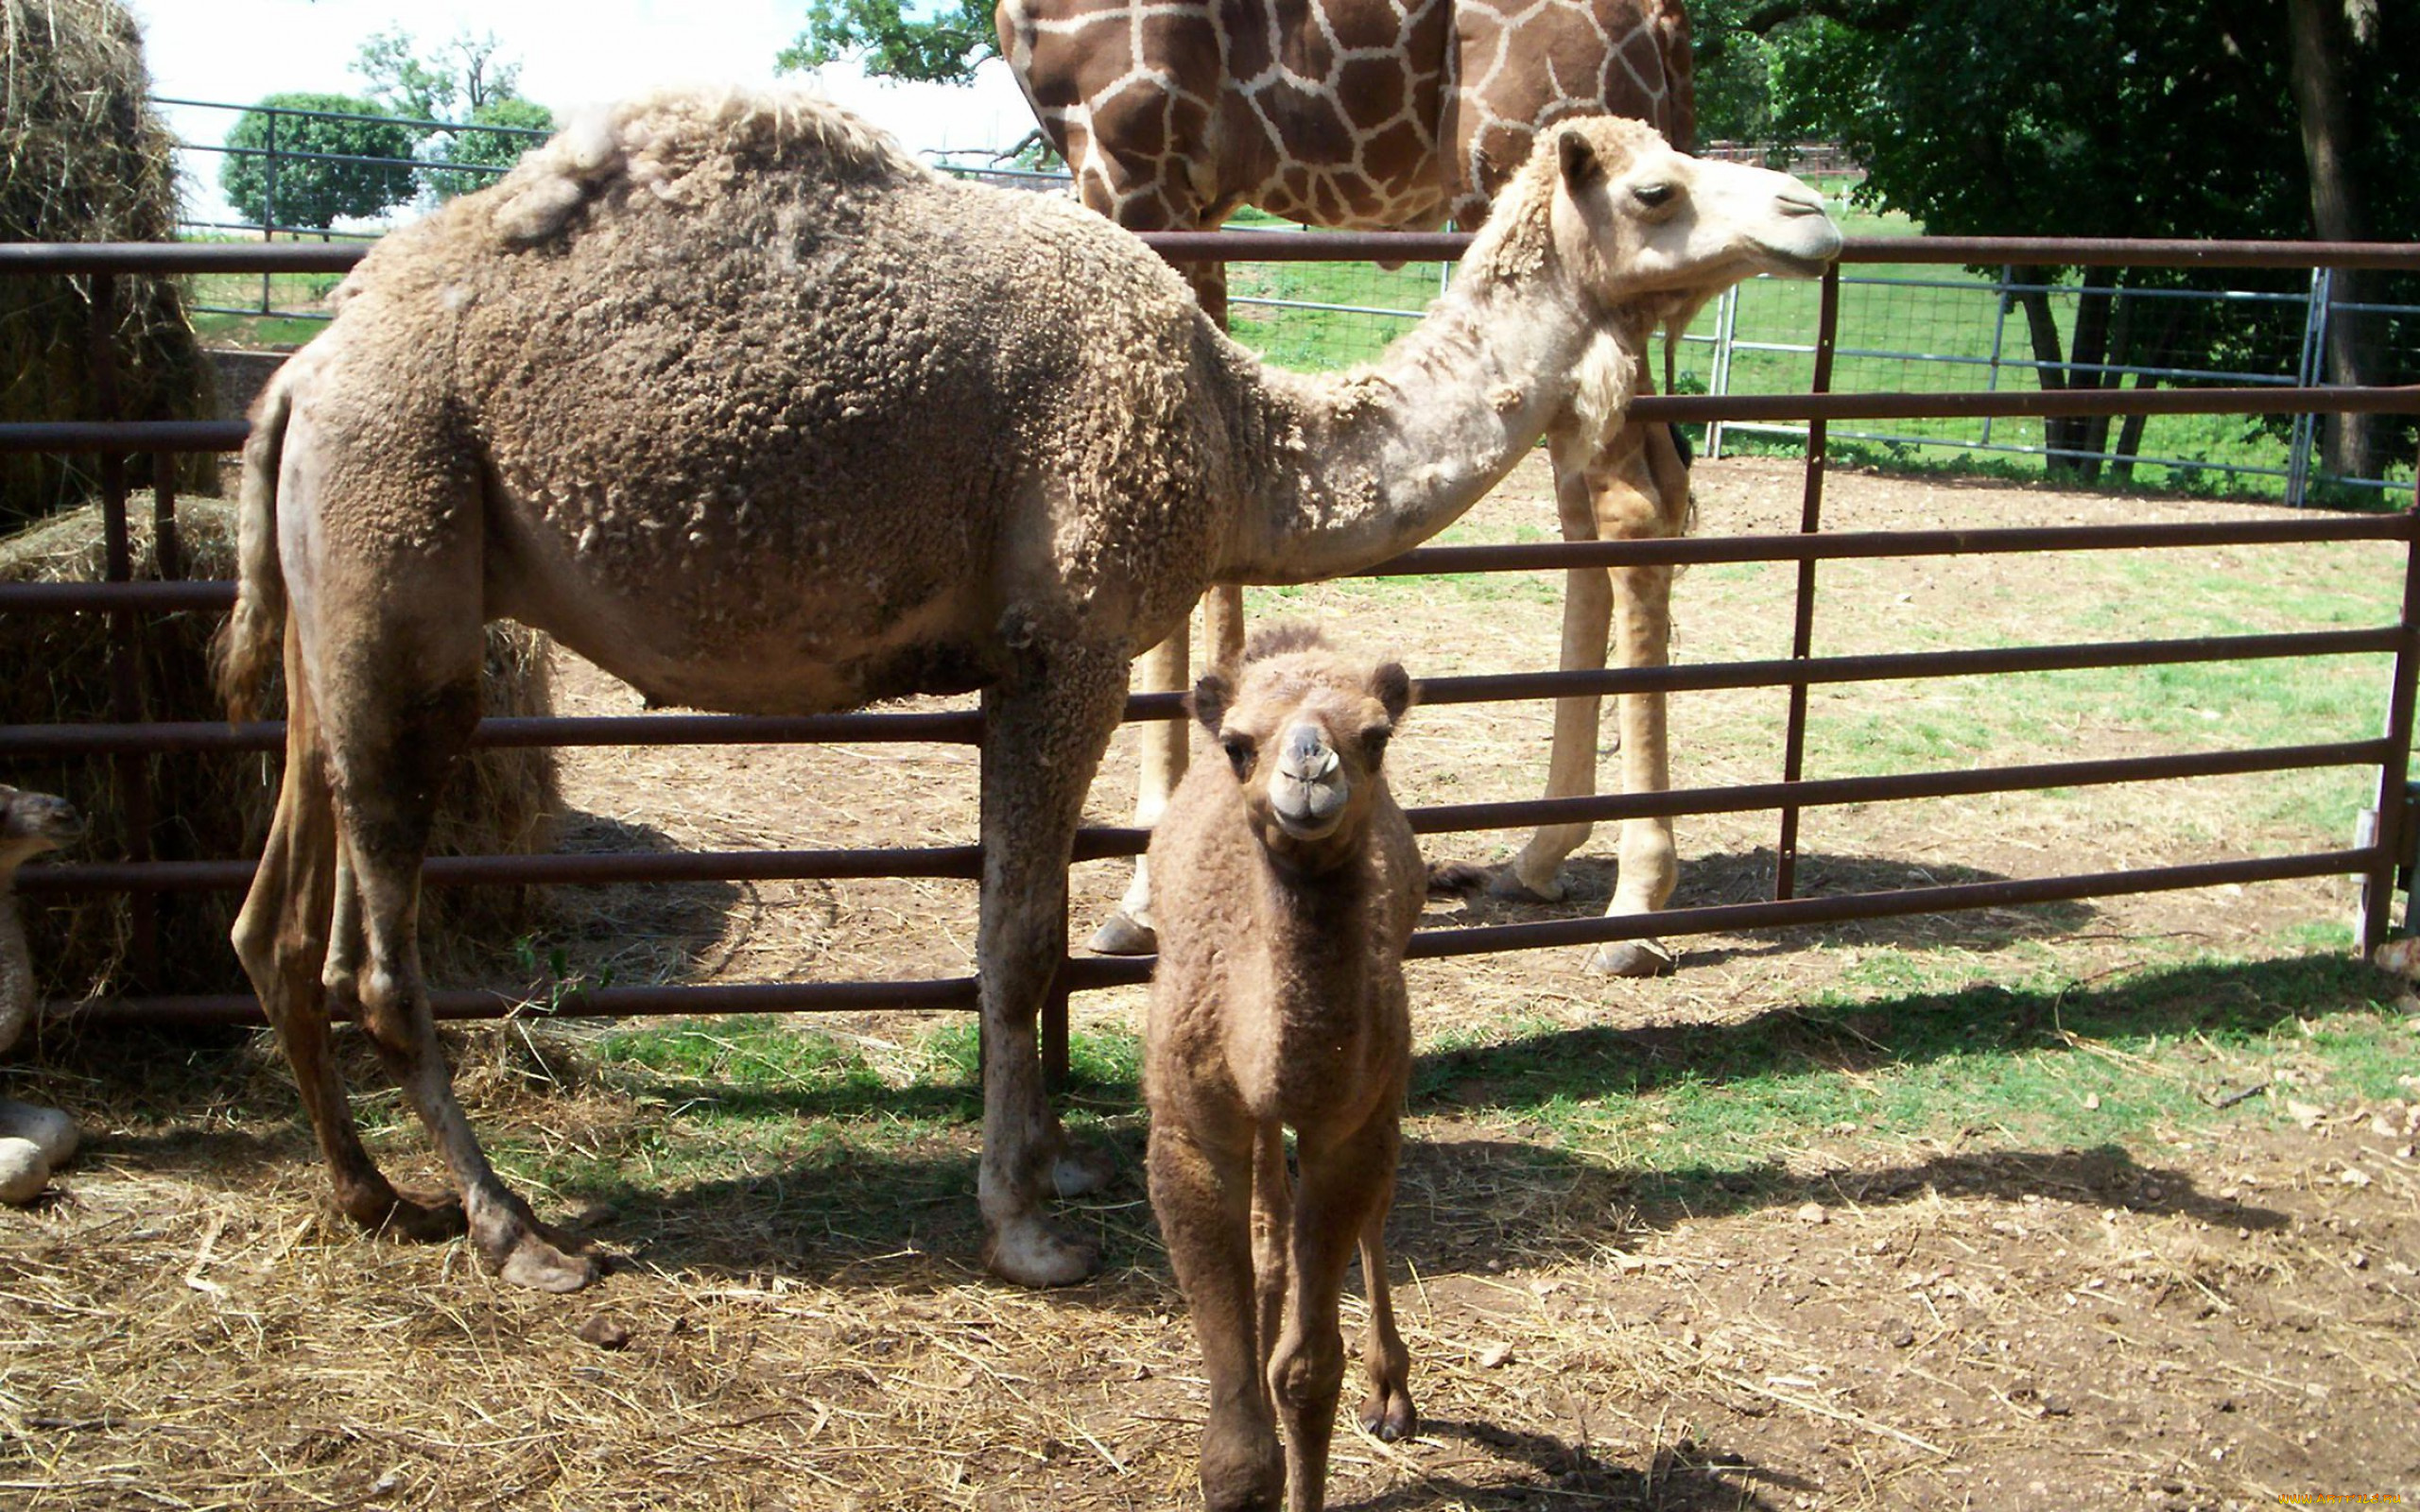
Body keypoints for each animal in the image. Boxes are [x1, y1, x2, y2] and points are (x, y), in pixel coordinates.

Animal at [999, 0, 1709, 975]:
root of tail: (1660, 23)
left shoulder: (1130, 150)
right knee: (1603, 507)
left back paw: (1636, 907)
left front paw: (1142, 890)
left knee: (1629, 509)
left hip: (1528, 171)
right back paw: (1539, 856)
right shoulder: (1199, 198)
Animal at [1145, 623, 1421, 1512]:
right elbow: (1236, 1434)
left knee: (1374, 1208)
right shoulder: (1192, 1130)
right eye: (1238, 744)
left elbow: (1308, 1372)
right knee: (1268, 1229)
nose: (1308, 768)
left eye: (1376, 736)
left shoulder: (1350, 1126)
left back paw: (1392, 1394)